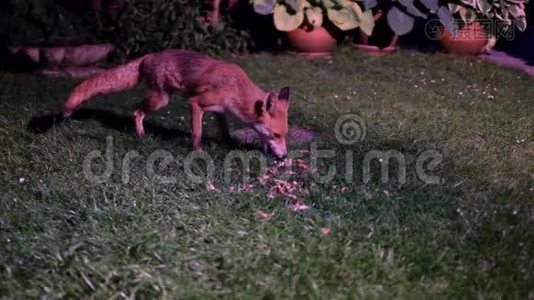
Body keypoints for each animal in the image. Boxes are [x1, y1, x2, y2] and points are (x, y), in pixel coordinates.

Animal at [62, 49, 294, 159]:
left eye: (284, 135)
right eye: (276, 135)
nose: (284, 157)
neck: (235, 87)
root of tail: (149, 55)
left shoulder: (219, 110)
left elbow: (225, 131)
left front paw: (228, 143)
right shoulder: (196, 104)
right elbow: (197, 132)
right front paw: (198, 152)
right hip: (161, 99)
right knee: (136, 110)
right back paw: (141, 135)